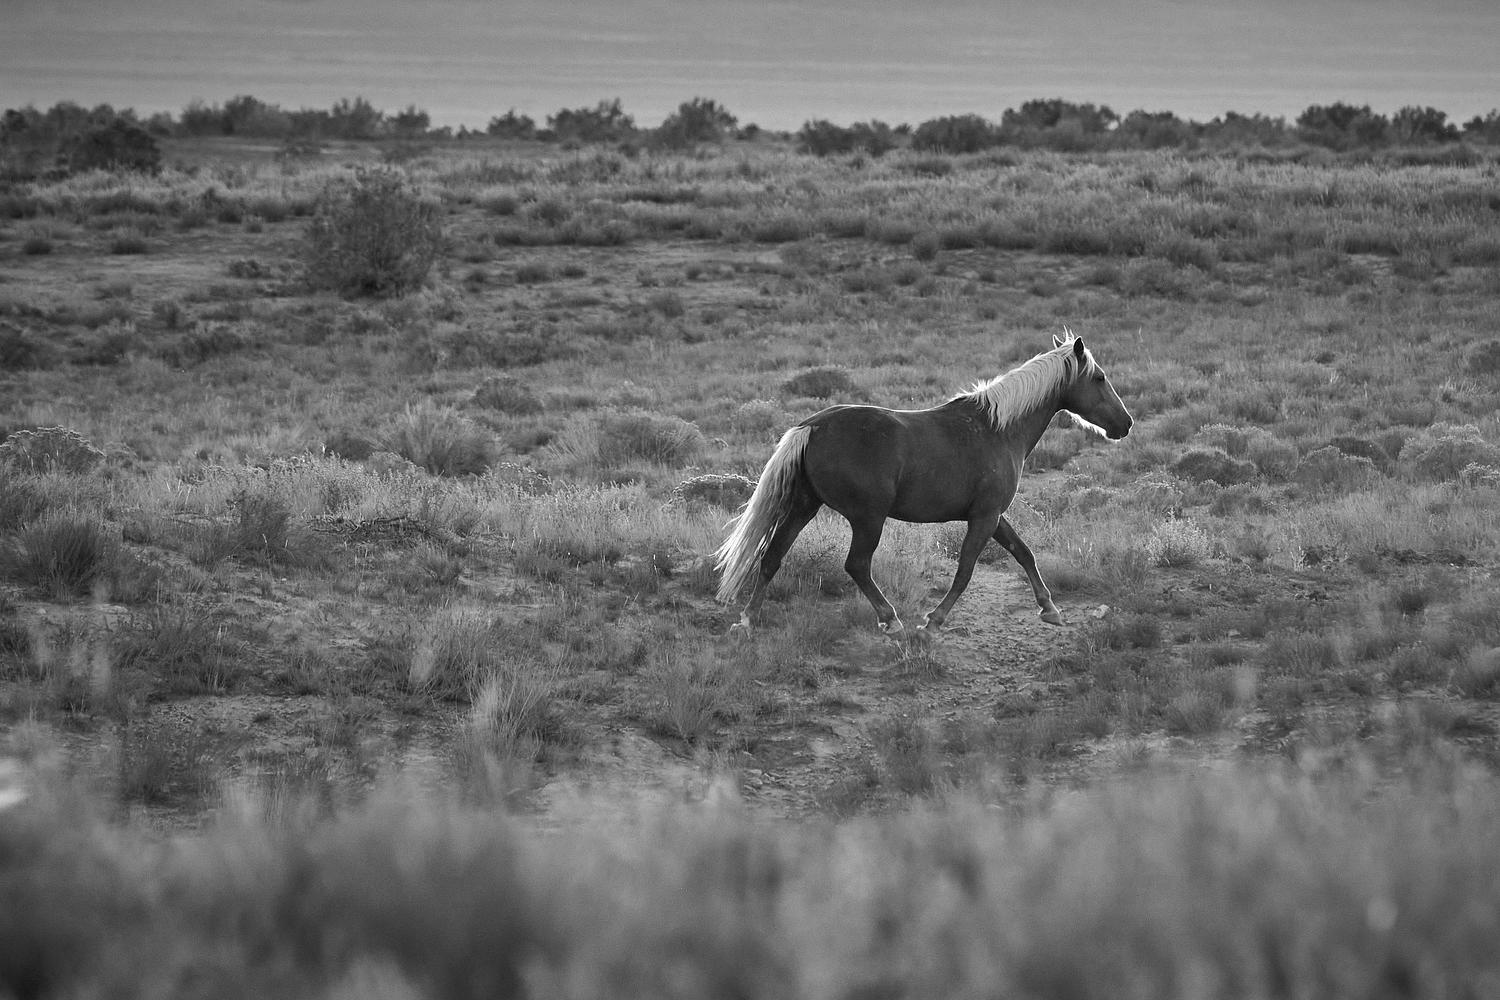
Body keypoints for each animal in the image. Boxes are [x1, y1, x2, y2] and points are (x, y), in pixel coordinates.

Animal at [714, 331, 1133, 639]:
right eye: (1099, 378)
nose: (1125, 424)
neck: (999, 429)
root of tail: (812, 426)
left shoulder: (993, 515)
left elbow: (1023, 553)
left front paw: (1050, 609)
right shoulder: (983, 517)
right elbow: (965, 571)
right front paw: (933, 621)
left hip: (804, 505)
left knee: (772, 556)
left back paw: (747, 621)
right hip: (868, 518)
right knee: (856, 565)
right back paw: (892, 620)